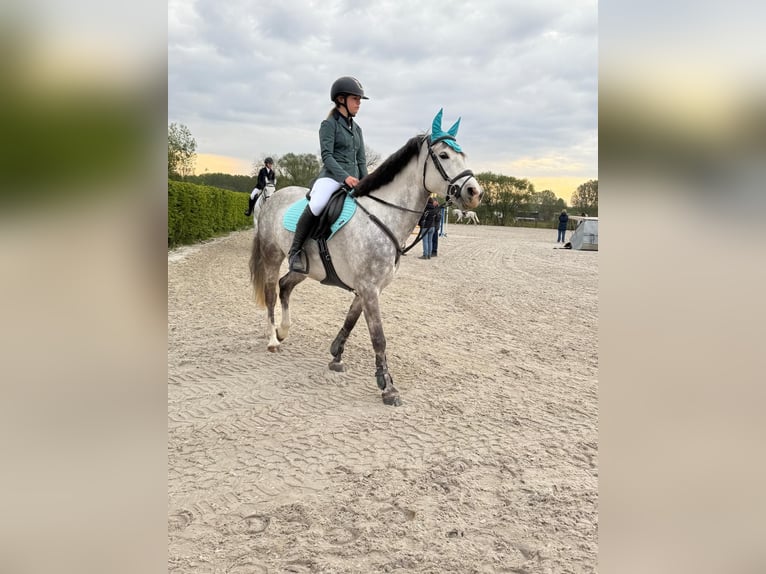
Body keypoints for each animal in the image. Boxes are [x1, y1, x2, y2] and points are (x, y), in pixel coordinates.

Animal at [249, 110, 483, 406]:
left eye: (463, 155)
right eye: (444, 156)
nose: (475, 193)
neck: (382, 216)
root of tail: (273, 197)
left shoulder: (370, 287)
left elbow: (351, 320)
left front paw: (336, 355)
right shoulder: (369, 288)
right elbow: (379, 337)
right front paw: (388, 387)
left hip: (303, 269)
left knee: (284, 286)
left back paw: (284, 331)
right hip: (272, 255)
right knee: (270, 293)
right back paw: (272, 339)